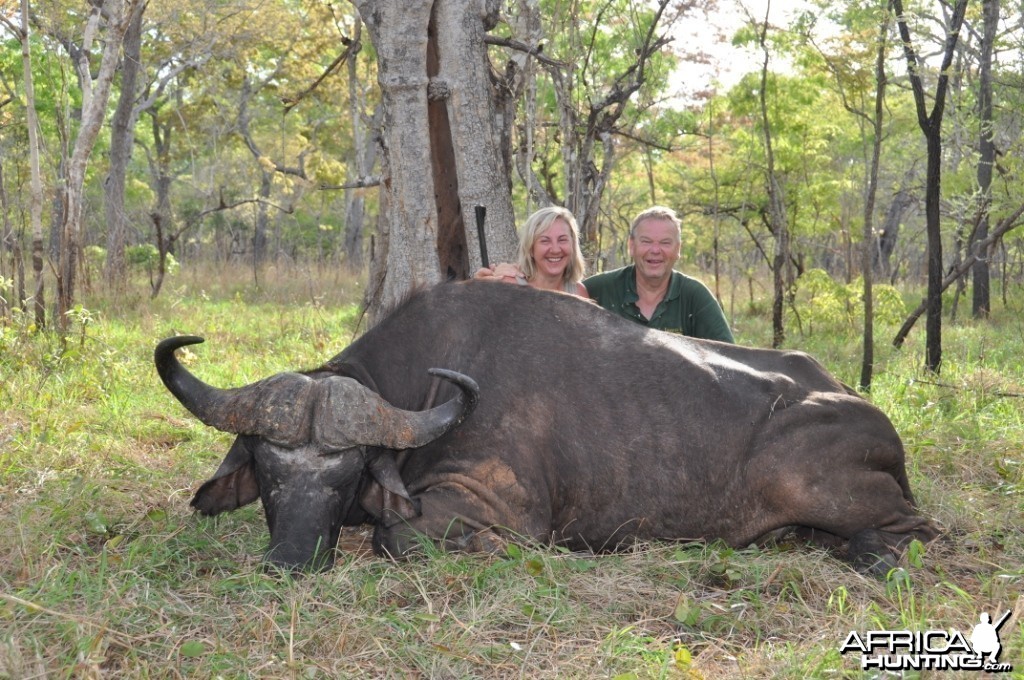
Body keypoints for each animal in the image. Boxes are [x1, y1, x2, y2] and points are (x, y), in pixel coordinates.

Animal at [157, 278, 937, 569]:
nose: (290, 560)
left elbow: (393, 535)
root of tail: (865, 413)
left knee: (914, 529)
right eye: (266, 465)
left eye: (347, 471)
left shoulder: (492, 512)